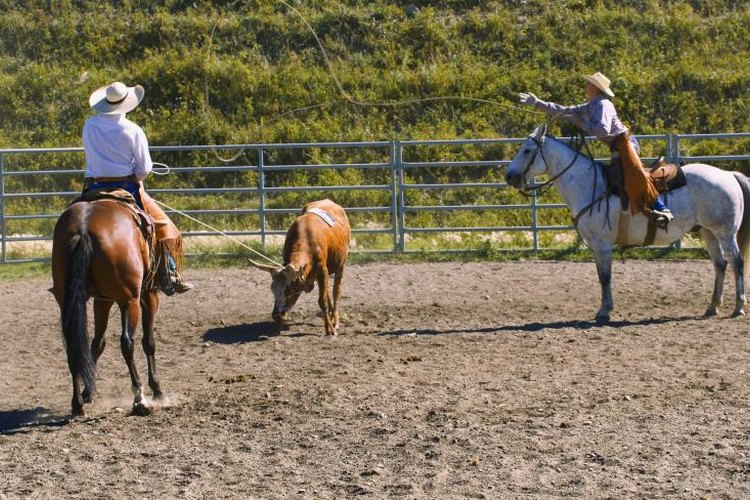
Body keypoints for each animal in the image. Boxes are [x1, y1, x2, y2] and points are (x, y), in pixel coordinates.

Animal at [51, 197, 163, 416]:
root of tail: (83, 228)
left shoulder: (102, 300)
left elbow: (97, 343)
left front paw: (88, 391)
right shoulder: (149, 295)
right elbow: (149, 342)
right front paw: (157, 389)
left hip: (68, 300)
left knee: (73, 346)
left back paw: (77, 404)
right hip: (130, 300)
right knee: (127, 343)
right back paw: (140, 398)